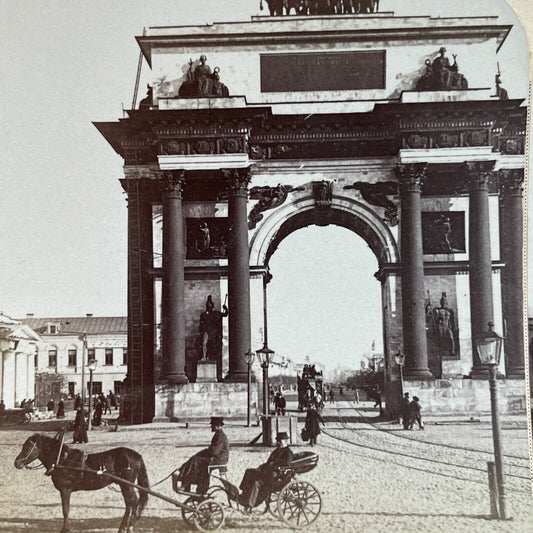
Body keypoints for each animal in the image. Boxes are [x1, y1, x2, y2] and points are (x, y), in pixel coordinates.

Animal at [15, 432, 148, 532]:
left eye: (28, 447)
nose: (16, 463)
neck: (62, 460)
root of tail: (137, 456)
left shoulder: (65, 490)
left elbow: (65, 511)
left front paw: (65, 529)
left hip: (126, 485)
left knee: (133, 503)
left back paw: (130, 528)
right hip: (124, 485)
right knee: (129, 504)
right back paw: (122, 528)